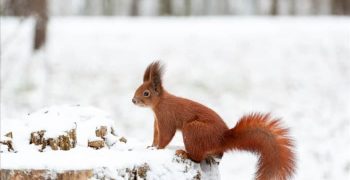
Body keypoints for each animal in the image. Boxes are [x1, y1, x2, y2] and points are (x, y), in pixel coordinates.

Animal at [133, 61, 294, 179]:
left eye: (146, 93)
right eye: (138, 88)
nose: (133, 100)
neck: (160, 103)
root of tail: (221, 139)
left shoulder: (166, 117)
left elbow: (165, 135)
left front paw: (158, 148)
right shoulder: (157, 122)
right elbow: (156, 135)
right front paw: (151, 146)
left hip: (193, 130)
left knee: (197, 158)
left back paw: (185, 153)